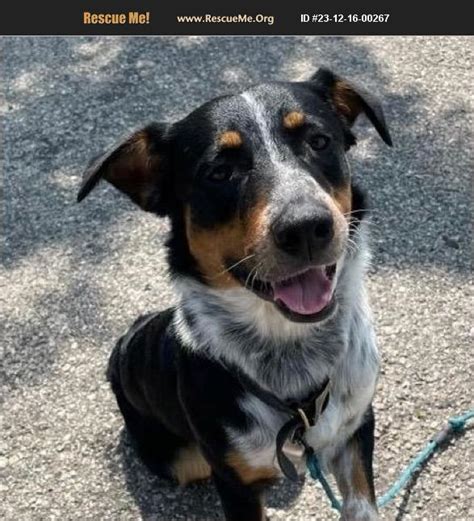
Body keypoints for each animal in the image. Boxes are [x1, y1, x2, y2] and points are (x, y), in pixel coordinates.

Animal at [77, 69, 388, 520]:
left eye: (318, 141)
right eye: (219, 172)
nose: (305, 226)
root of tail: (124, 343)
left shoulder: (357, 424)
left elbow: (362, 501)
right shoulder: (233, 481)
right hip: (182, 459)